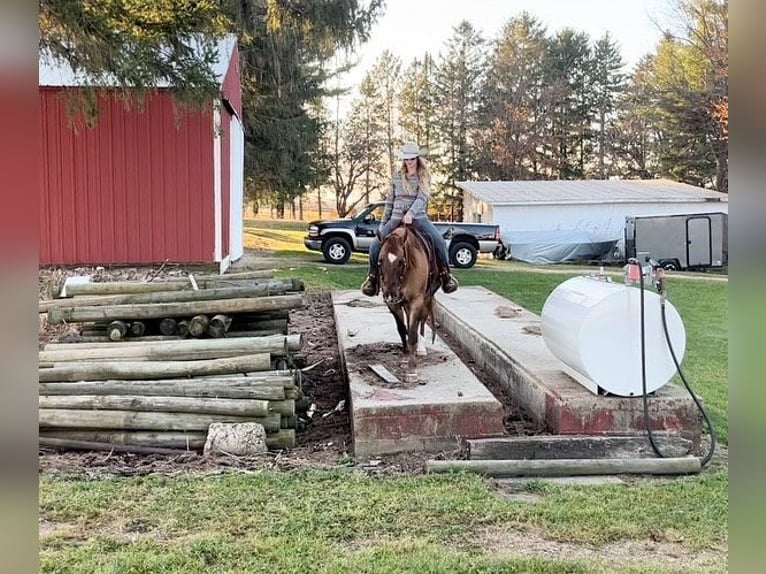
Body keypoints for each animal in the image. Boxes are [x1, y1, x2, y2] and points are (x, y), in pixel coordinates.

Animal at [376, 225, 440, 382]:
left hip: (426, 299)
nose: (390, 293)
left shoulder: (416, 301)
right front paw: (405, 359)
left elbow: (411, 334)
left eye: (400, 261)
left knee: (421, 322)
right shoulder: (394, 304)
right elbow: (402, 329)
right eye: (380, 261)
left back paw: (421, 349)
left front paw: (412, 370)